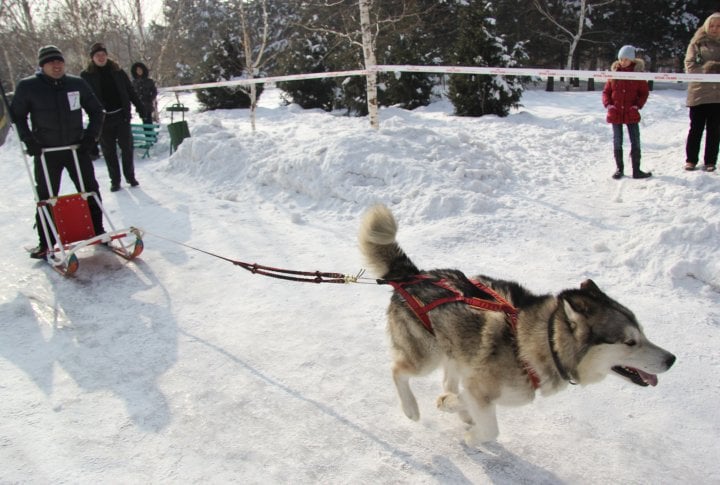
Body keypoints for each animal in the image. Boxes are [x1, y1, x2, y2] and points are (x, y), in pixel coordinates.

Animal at [358, 204, 676, 446]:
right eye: (630, 342)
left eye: (643, 333)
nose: (672, 359)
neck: (541, 342)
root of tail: (413, 274)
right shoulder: (479, 386)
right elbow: (490, 430)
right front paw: (471, 435)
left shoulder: (477, 384)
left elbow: (462, 399)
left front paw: (451, 405)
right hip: (427, 356)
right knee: (398, 370)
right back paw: (411, 408)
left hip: (454, 351)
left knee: (447, 380)